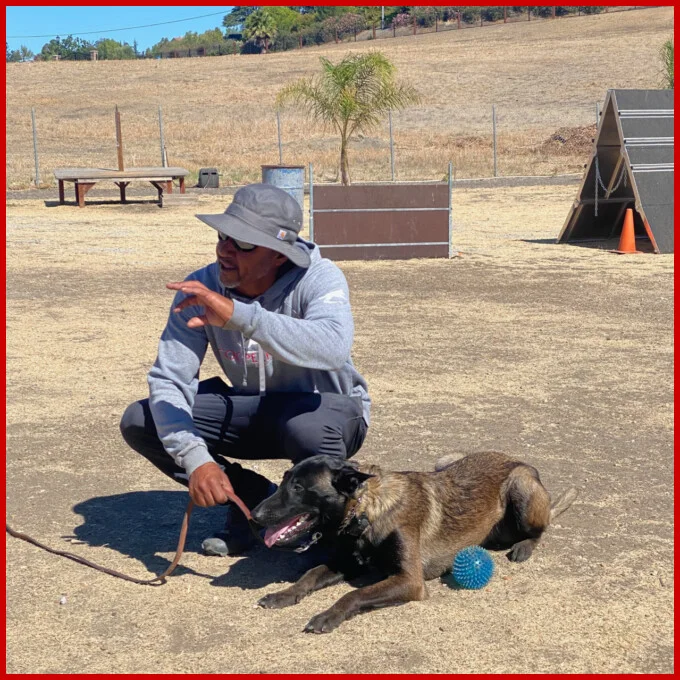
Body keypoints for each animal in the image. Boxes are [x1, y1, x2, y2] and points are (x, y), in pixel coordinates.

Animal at [251, 452, 580, 632]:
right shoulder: (346, 562)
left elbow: (354, 594)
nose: (254, 515)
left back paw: (524, 546)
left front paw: (328, 614)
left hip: (521, 488)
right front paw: (284, 594)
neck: (366, 509)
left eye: (298, 487)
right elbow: (309, 575)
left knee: (539, 529)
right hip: (444, 461)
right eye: (284, 480)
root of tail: (518, 461)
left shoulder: (409, 580)